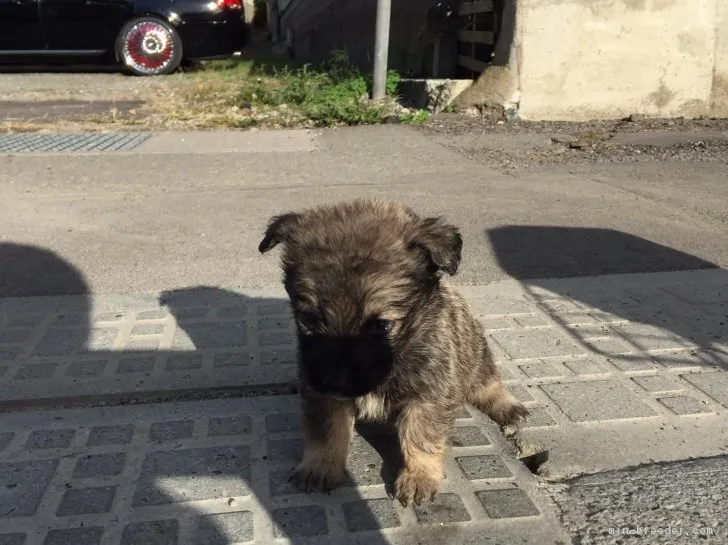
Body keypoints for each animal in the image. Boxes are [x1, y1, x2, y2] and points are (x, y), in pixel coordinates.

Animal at [258, 198, 528, 504]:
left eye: (382, 326)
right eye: (308, 319)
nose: (334, 382)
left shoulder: (429, 392)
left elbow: (421, 434)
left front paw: (419, 475)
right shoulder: (320, 393)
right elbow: (325, 430)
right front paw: (321, 465)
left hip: (475, 355)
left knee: (487, 382)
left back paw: (507, 406)